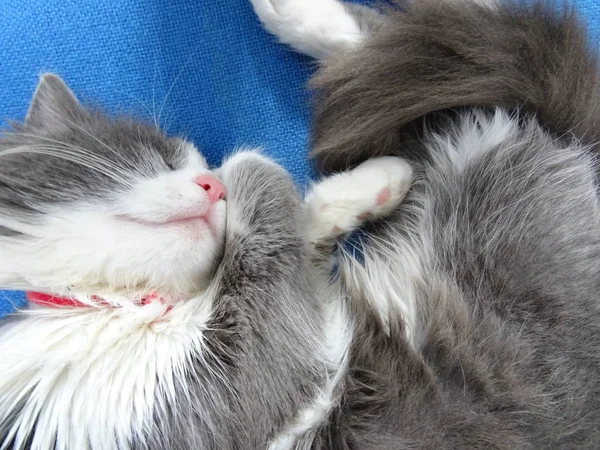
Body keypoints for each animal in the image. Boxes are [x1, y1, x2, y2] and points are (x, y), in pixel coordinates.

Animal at [0, 73, 410, 446]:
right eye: (164, 160)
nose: (215, 187)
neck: (127, 304)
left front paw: (378, 181)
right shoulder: (207, 403)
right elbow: (253, 166)